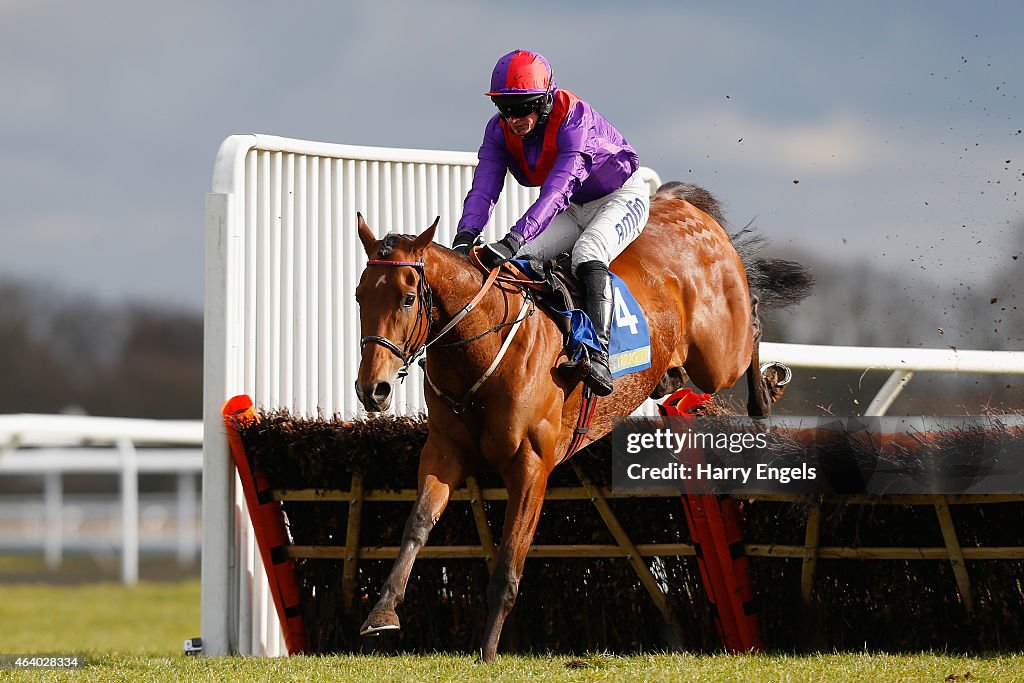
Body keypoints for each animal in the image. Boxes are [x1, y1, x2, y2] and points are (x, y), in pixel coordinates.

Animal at [356, 181, 811, 663]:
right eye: (360, 296)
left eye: (408, 298)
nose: (372, 389)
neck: (483, 344)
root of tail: (683, 205)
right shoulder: (444, 451)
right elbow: (417, 524)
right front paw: (382, 613)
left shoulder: (531, 466)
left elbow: (508, 567)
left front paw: (488, 653)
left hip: (718, 356)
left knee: (753, 325)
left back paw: (767, 395)